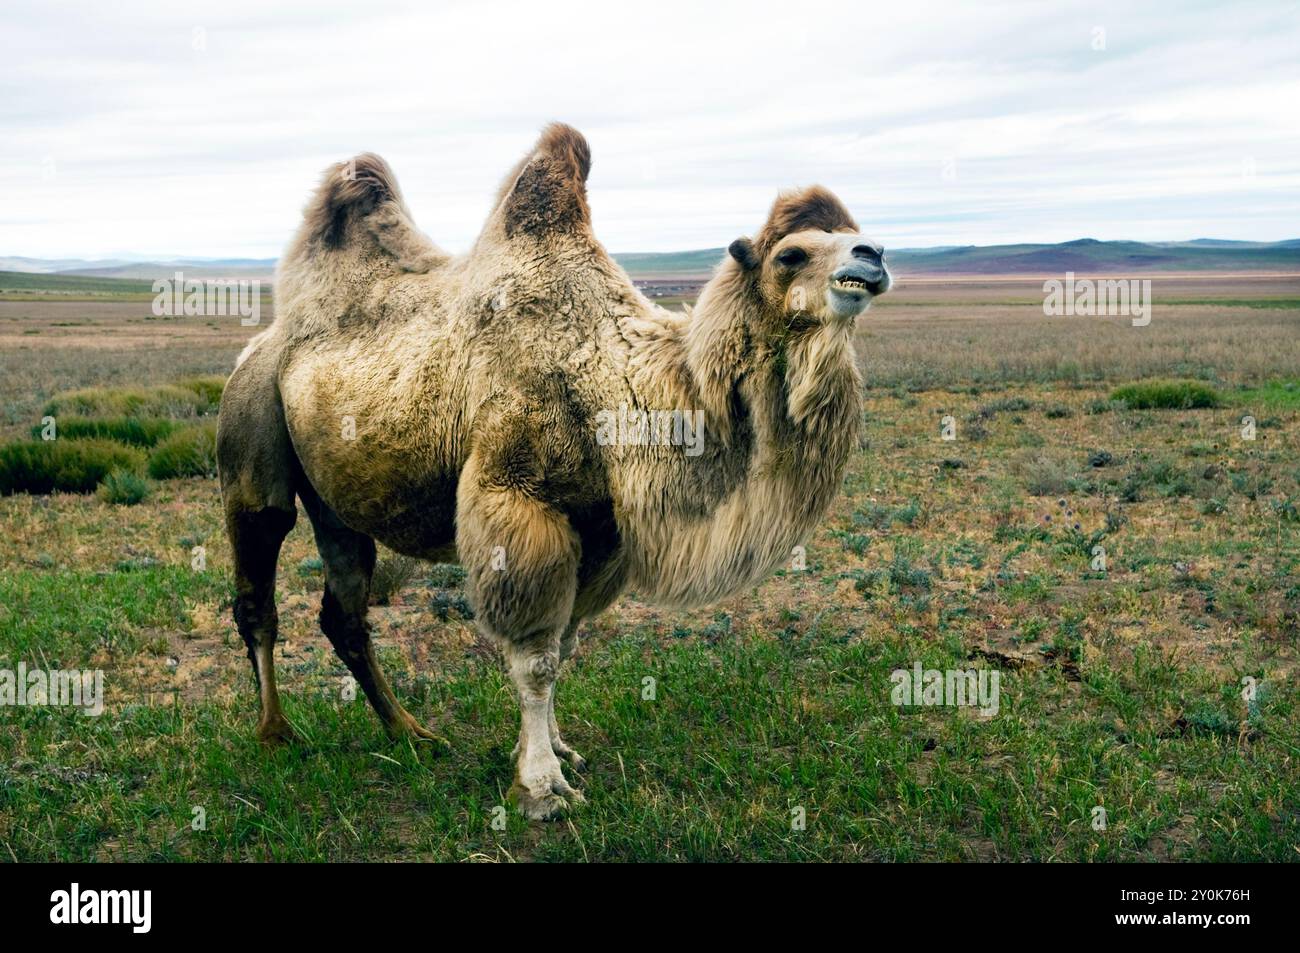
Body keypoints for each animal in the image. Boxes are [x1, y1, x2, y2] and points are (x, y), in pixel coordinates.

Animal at [220, 122, 894, 816]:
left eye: (852, 233)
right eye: (791, 254)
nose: (873, 255)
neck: (616, 384)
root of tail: (264, 341)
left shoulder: (599, 529)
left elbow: (564, 646)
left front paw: (554, 751)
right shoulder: (519, 500)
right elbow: (534, 657)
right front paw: (542, 786)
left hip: (338, 500)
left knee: (345, 612)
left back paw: (409, 732)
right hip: (251, 430)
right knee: (258, 585)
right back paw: (276, 733)